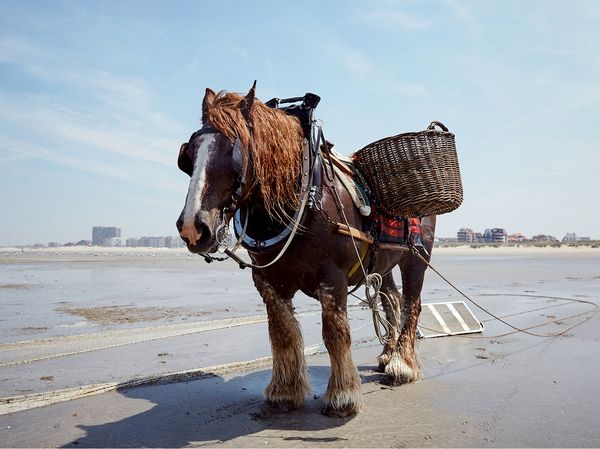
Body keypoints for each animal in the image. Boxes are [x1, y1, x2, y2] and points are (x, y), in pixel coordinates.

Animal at [176, 82, 434, 414]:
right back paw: (388, 354)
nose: (192, 226)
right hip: (383, 261)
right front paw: (285, 391)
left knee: (412, 303)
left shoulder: (333, 278)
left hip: (417, 256)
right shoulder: (267, 281)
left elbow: (335, 333)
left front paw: (343, 394)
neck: (303, 198)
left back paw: (403, 364)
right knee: (391, 299)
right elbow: (282, 333)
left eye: (233, 152)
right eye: (188, 156)